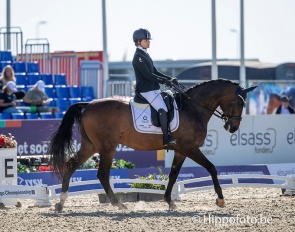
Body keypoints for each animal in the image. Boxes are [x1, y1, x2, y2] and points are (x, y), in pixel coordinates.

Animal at [48, 79, 256, 212]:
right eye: (238, 102)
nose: (232, 127)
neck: (193, 108)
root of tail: (89, 105)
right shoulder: (190, 148)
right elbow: (212, 168)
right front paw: (220, 199)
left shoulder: (181, 151)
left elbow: (173, 175)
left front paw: (169, 202)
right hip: (107, 148)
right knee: (102, 175)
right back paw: (118, 205)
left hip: (91, 146)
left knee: (71, 166)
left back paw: (61, 204)